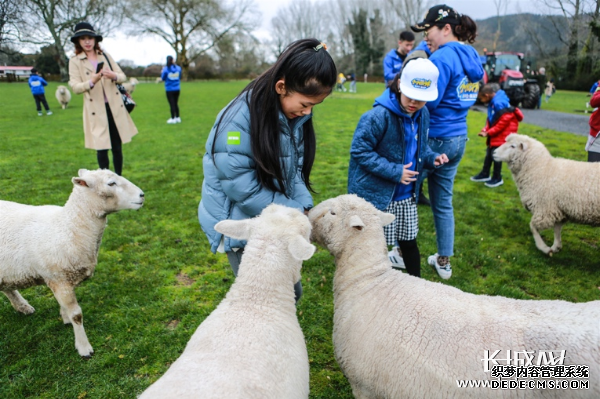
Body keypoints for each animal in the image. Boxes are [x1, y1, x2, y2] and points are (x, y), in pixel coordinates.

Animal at [0, 170, 145, 360]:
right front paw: (84, 347)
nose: (142, 195)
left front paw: (65, 318)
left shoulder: (60, 279)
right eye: (111, 183)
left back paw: (23, 307)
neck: (69, 226)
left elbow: (65, 308)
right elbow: (77, 315)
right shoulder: (59, 278)